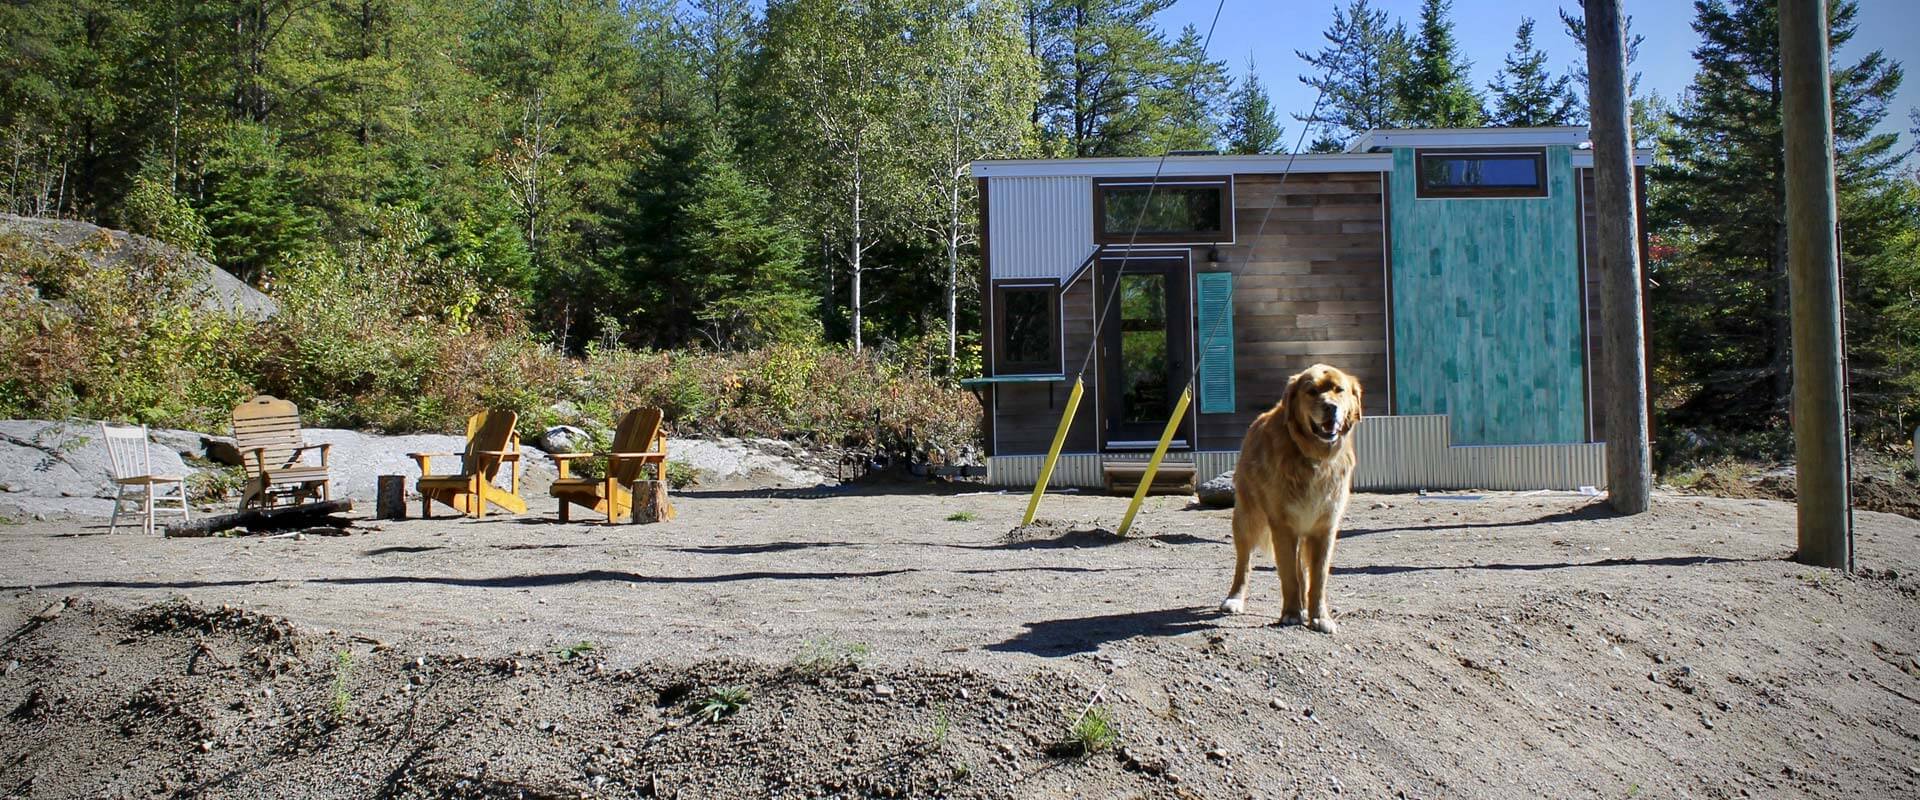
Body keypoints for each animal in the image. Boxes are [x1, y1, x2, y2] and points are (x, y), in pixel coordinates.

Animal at [1221, 360, 1359, 629]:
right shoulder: (1283, 525)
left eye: (1339, 390)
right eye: (1312, 392)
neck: (1315, 458)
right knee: (1244, 563)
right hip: (1247, 518)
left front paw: (1319, 616)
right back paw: (1234, 599)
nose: (1331, 407)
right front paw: (1292, 613)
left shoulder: (1325, 527)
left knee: (1302, 570)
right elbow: (1288, 575)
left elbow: (1318, 578)